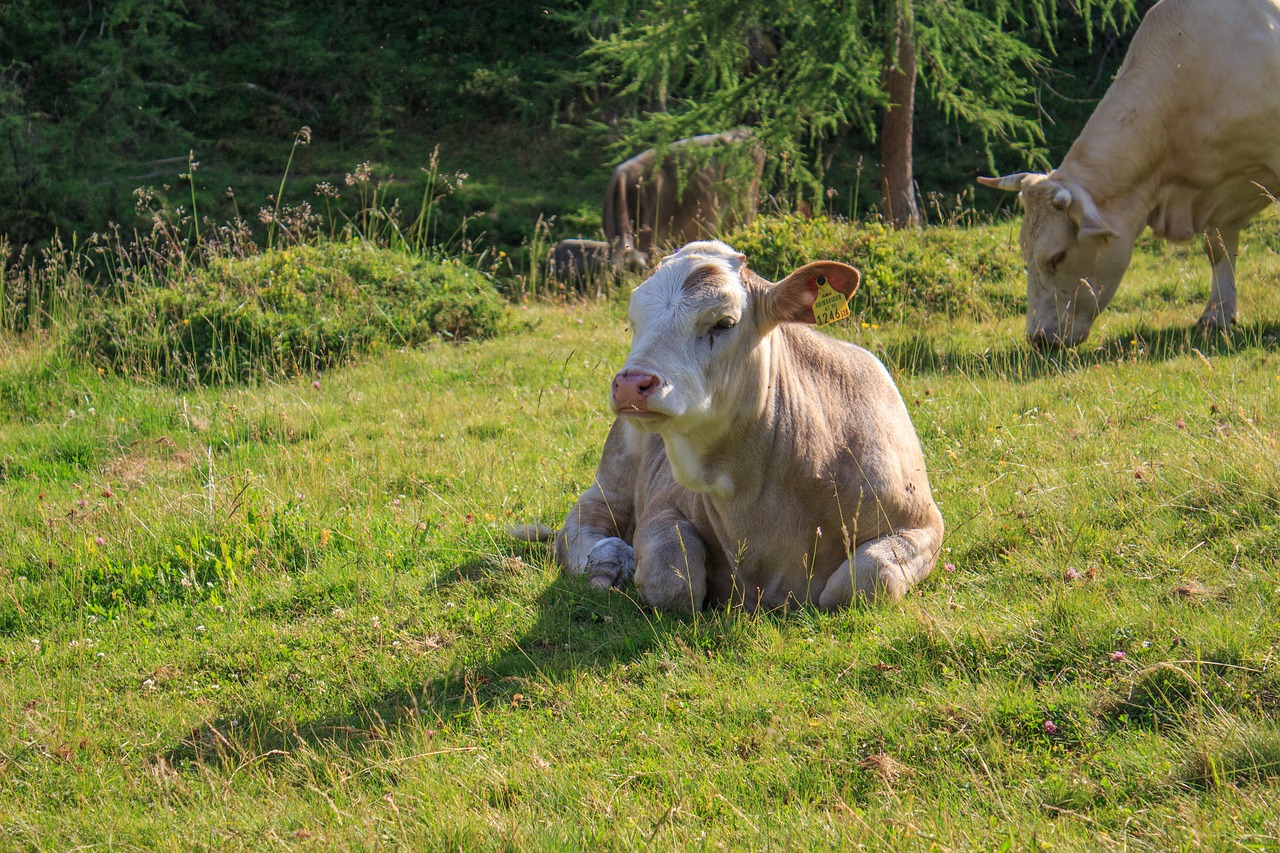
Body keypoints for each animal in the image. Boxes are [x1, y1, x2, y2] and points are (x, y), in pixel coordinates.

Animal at [535, 240, 947, 612]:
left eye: (725, 322)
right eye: (634, 322)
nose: (630, 384)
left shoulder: (923, 524)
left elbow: (862, 580)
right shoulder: (663, 505)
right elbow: (671, 579)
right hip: (611, 480)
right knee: (579, 527)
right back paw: (611, 559)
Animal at [977, 0, 1280, 348]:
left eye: (1057, 257)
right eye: (1025, 249)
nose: (1038, 337)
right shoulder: (1218, 192)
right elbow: (1218, 249)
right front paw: (1217, 315)